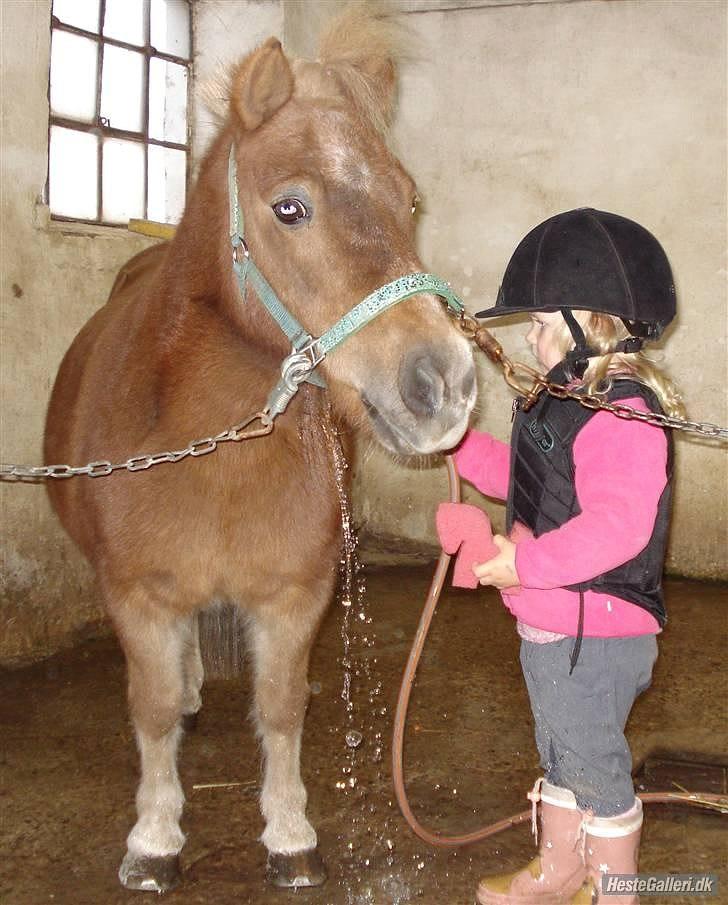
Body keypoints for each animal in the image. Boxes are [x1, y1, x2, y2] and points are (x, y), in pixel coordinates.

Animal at [42, 7, 474, 892]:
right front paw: (154, 838)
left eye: (409, 200)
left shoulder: (293, 594)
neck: (211, 451)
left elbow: (281, 705)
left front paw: (289, 833)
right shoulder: (138, 596)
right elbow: (152, 709)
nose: (442, 381)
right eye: (289, 208)